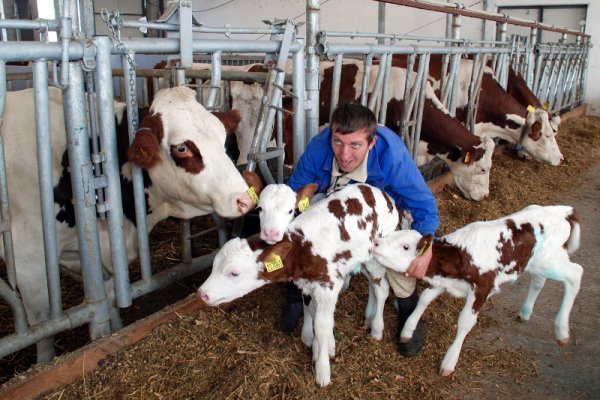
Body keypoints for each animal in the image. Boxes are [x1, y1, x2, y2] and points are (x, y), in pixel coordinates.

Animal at [2, 84, 258, 362]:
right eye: (181, 148)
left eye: (223, 139)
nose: (245, 199)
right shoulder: (30, 263)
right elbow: (44, 330)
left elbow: (109, 302)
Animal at [199, 183, 400, 386]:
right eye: (214, 266)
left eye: (234, 273)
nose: (202, 293)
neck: (303, 249)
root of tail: (381, 193)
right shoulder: (306, 283)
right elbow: (310, 310)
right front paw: (315, 344)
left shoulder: (328, 285)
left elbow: (322, 325)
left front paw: (322, 370)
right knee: (372, 284)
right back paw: (369, 315)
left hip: (377, 253)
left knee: (381, 288)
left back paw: (377, 328)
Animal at [372, 205, 584, 376]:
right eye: (392, 235)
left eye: (405, 246)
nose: (375, 242)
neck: (462, 253)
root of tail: (565, 211)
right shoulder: (444, 282)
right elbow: (424, 298)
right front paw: (408, 330)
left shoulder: (483, 288)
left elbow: (465, 321)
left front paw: (449, 362)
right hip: (535, 263)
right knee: (539, 280)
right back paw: (525, 312)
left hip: (552, 261)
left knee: (576, 274)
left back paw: (562, 331)